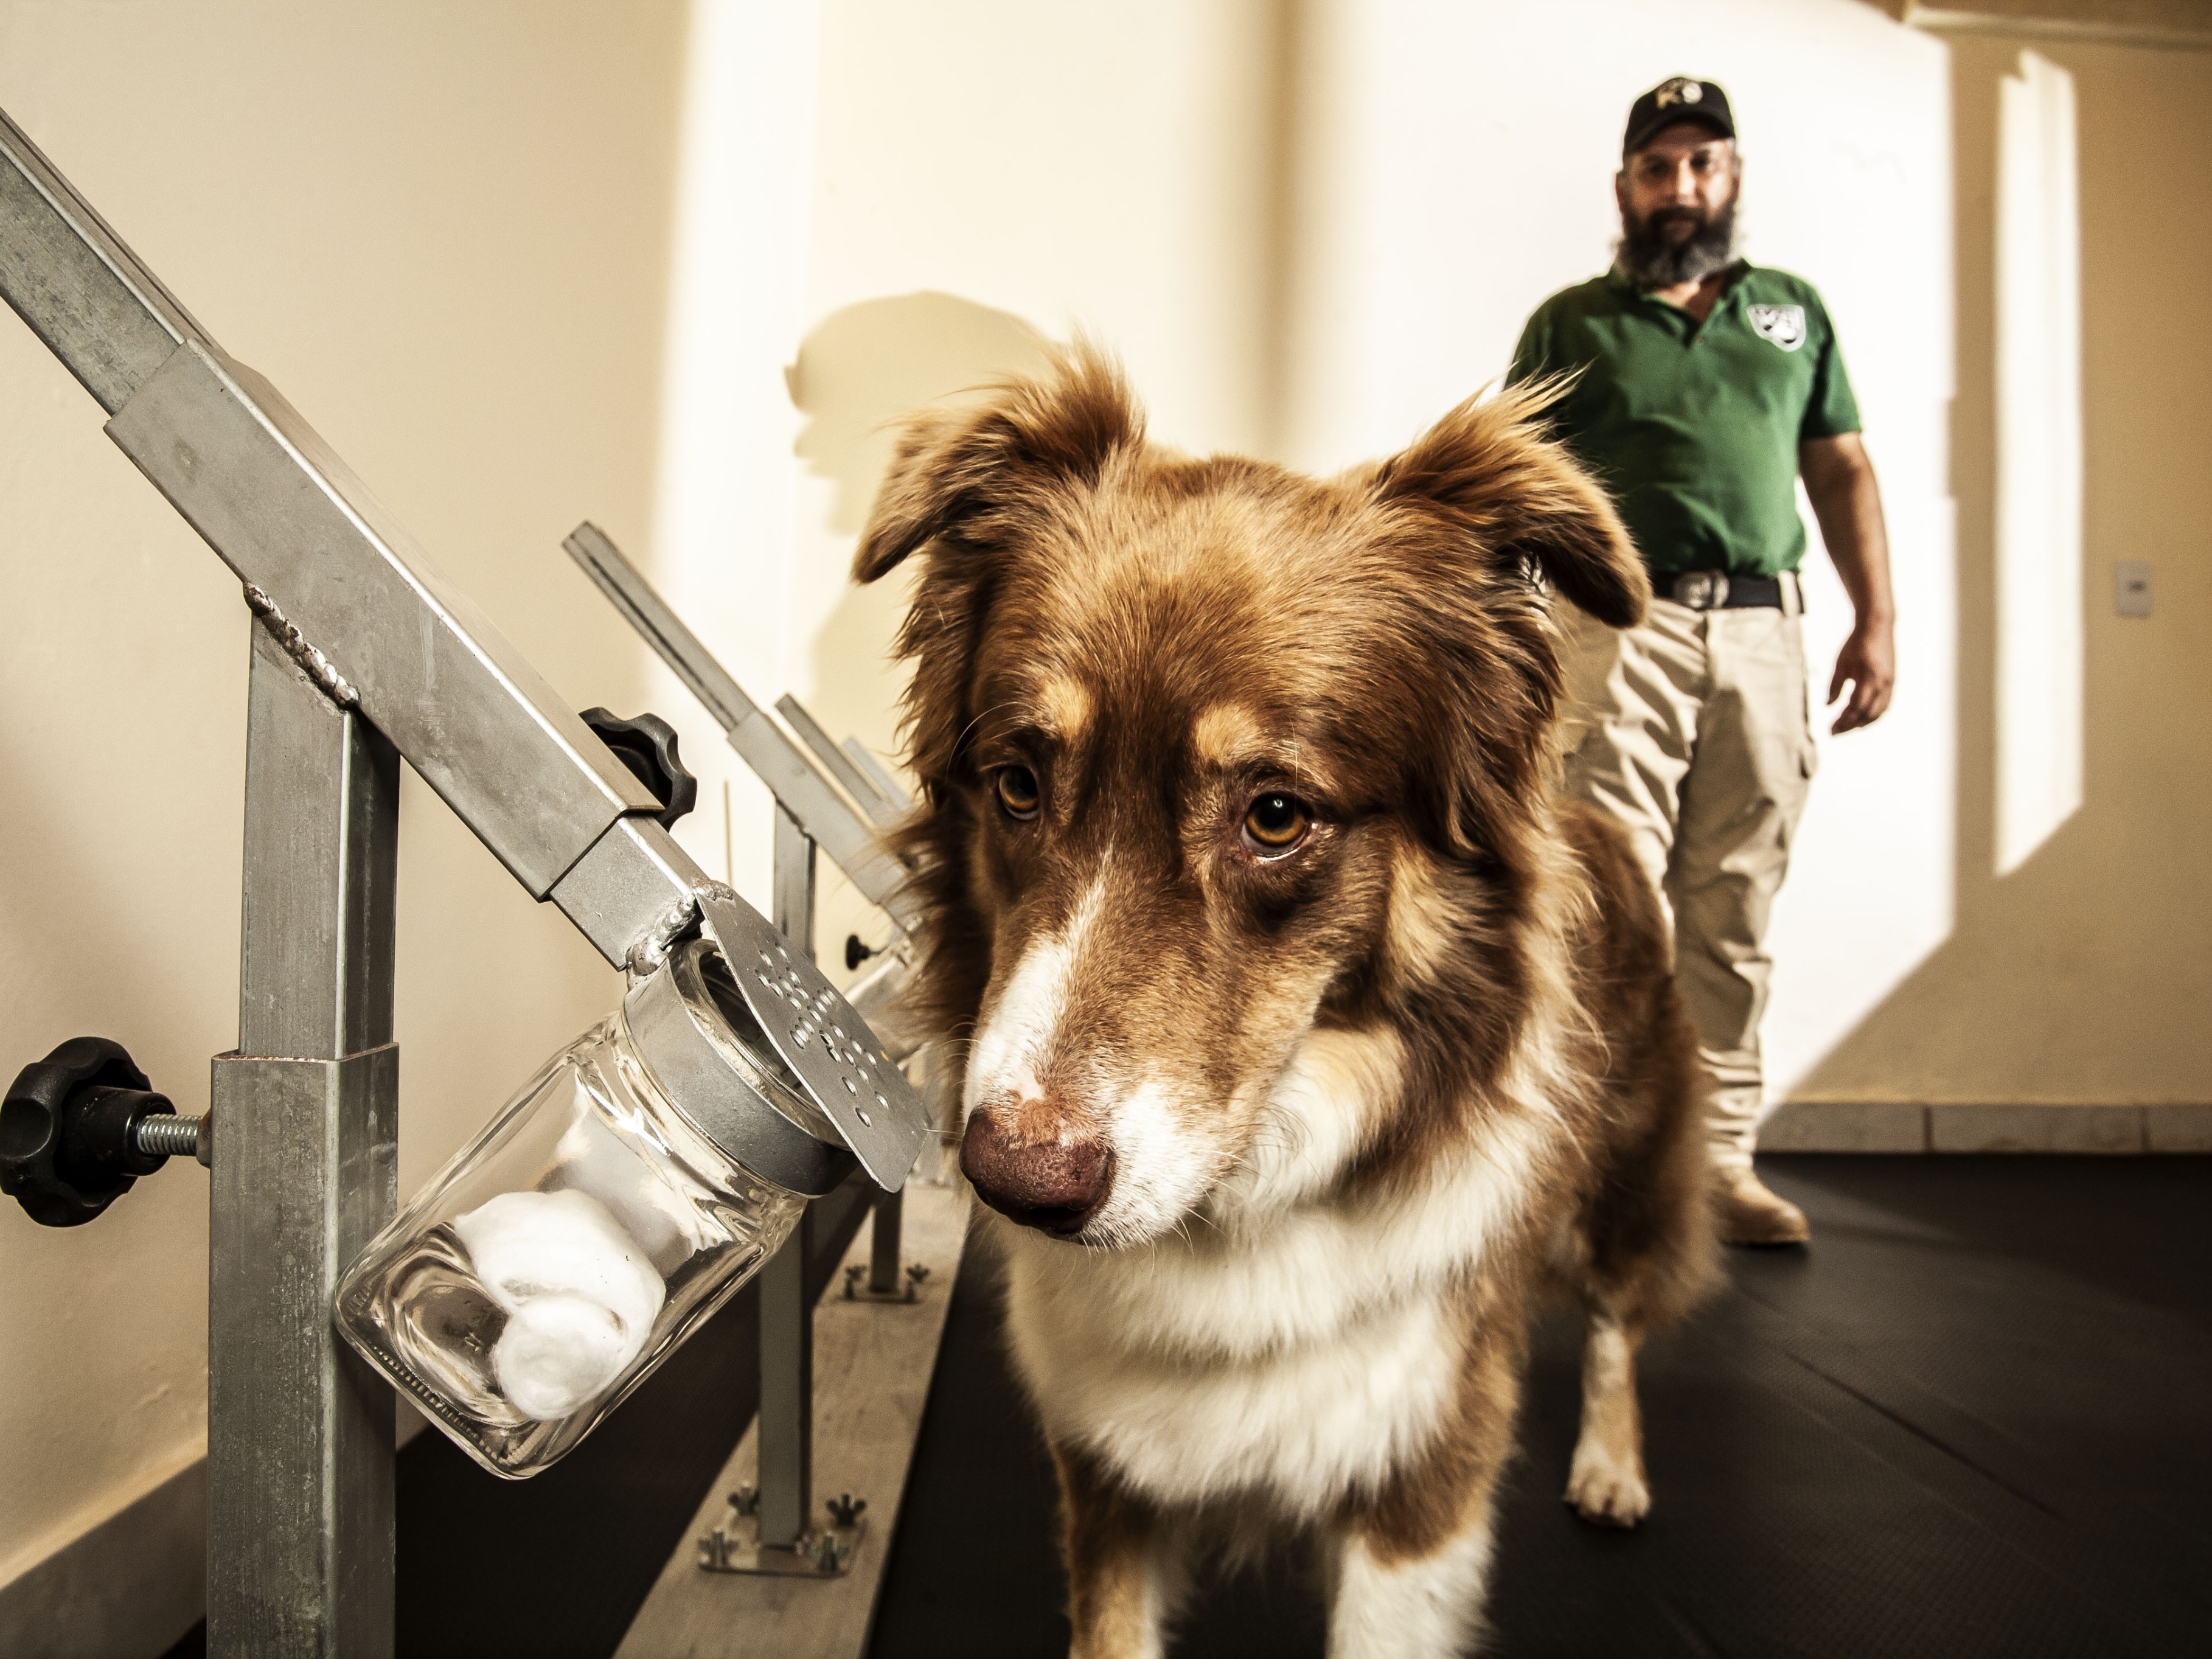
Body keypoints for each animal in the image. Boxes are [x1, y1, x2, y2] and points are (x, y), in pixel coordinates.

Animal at [844, 353, 1707, 1659]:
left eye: (1276, 815)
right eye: (1018, 784)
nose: (1019, 1182)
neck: (1241, 1204)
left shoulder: (1419, 1490)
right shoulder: (1105, 1476)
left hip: (1623, 1176)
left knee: (1617, 1320)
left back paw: (1611, 1465)